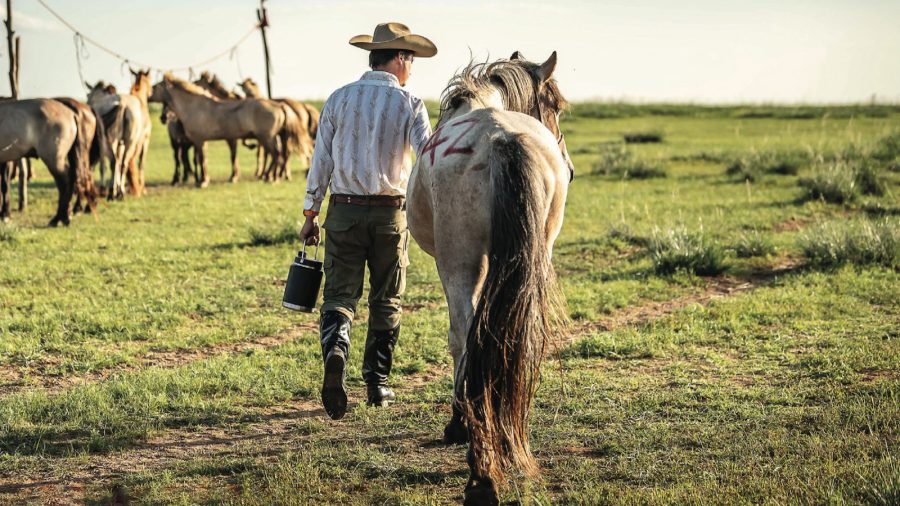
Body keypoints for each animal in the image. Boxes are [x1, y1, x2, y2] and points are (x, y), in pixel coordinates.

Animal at [149, 74, 301, 187]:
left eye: (155, 86)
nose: (163, 118)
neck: (195, 106)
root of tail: (279, 105)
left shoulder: (200, 140)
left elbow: (202, 159)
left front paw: (203, 181)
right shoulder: (203, 142)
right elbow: (203, 159)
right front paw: (204, 179)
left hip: (266, 137)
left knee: (276, 154)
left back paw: (270, 177)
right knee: (278, 155)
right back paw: (274, 176)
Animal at [406, 51, 573, 505]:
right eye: (556, 106)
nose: (570, 168)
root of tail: (502, 138)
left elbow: (461, 340)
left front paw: (458, 423)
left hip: (460, 262)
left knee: (466, 334)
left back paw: (481, 472)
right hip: (530, 261)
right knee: (518, 336)